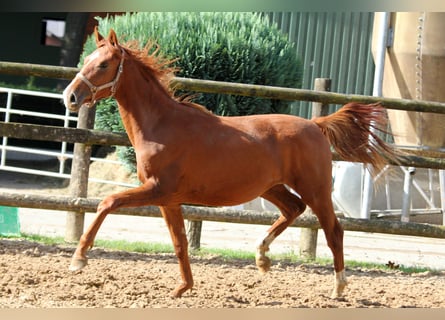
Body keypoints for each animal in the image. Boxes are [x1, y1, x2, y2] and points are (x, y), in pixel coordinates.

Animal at [62, 28, 396, 300]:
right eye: (88, 58)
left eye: (103, 64)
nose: (70, 97)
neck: (161, 125)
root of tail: (315, 125)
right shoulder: (168, 199)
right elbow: (180, 243)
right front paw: (183, 287)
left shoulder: (157, 190)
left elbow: (107, 202)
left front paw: (79, 259)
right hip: (270, 187)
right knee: (293, 209)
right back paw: (262, 257)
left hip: (316, 189)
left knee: (333, 231)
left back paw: (338, 287)